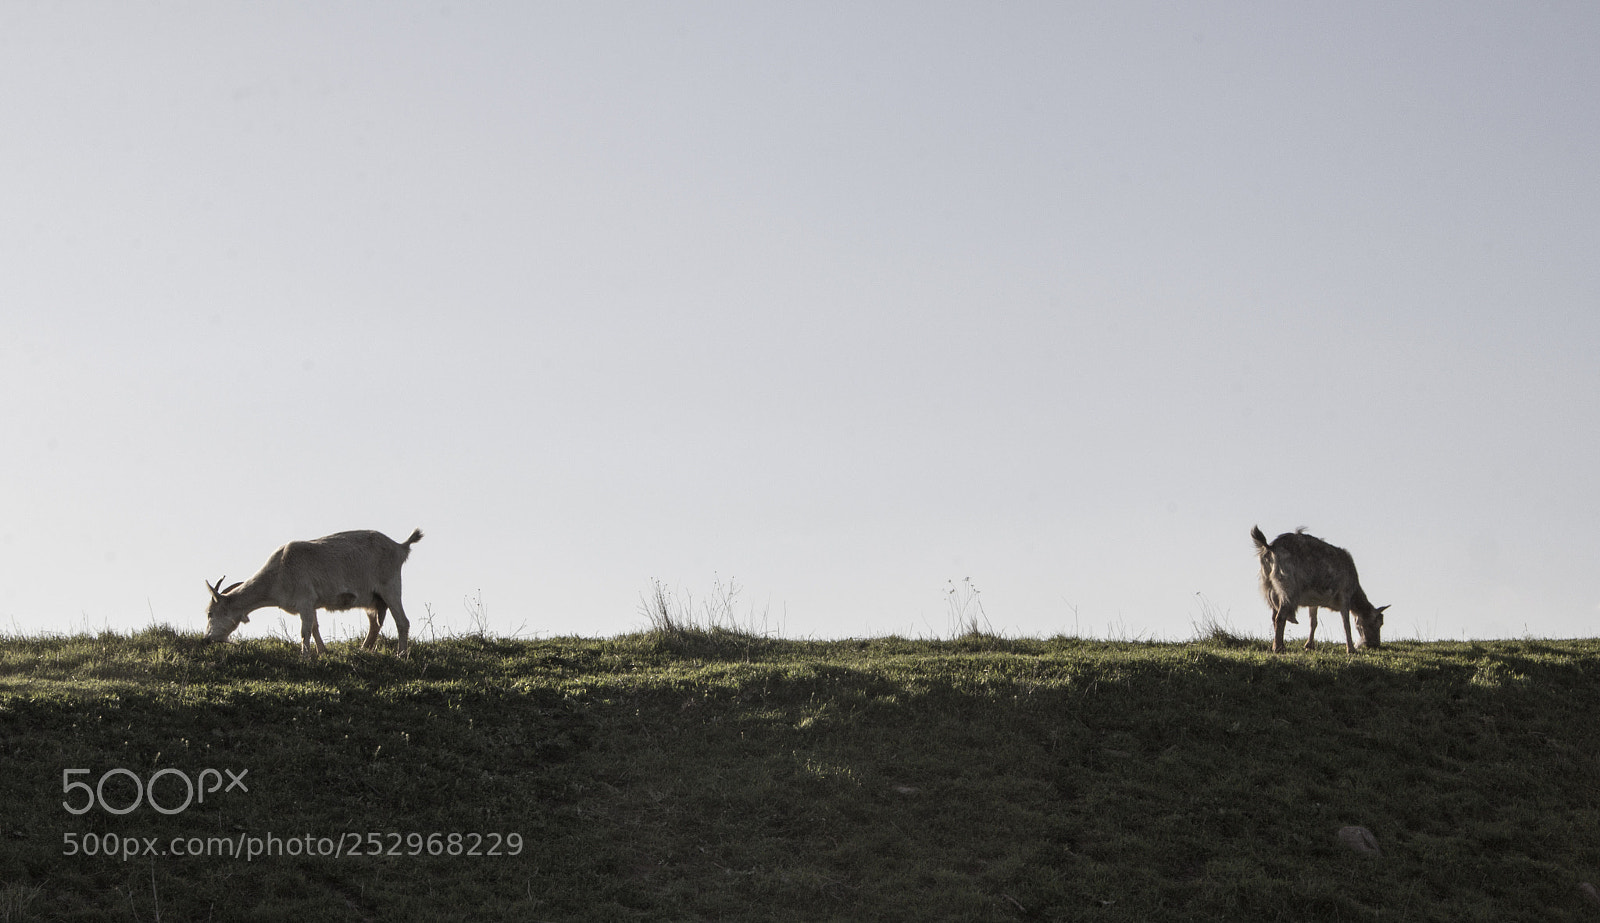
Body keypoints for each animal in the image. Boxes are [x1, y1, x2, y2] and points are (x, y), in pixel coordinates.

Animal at [205, 529, 423, 657]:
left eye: (209, 613)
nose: (206, 639)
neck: (278, 573)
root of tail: (400, 547)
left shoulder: (304, 600)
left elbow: (305, 630)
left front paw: (305, 656)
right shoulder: (311, 603)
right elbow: (315, 627)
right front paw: (322, 651)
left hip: (390, 587)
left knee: (402, 621)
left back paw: (401, 655)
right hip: (372, 599)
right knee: (375, 624)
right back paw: (364, 649)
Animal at [1251, 526, 1387, 654]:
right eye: (1377, 622)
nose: (1375, 644)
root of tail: (1269, 548)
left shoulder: (1314, 602)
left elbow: (1313, 622)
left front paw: (1309, 645)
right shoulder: (1344, 595)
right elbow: (1346, 623)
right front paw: (1351, 649)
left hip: (1269, 587)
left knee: (1274, 616)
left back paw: (1279, 645)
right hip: (1287, 587)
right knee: (1280, 616)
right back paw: (1279, 648)